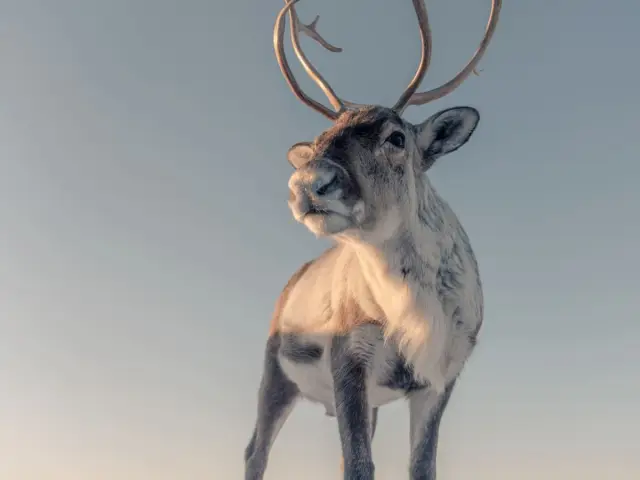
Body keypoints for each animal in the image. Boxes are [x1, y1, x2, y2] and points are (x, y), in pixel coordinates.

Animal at [244, 0, 502, 479]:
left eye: (396, 137)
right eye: (320, 140)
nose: (308, 183)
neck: (416, 314)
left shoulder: (442, 375)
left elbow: (421, 467)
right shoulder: (349, 356)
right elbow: (360, 465)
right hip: (275, 370)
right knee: (256, 450)